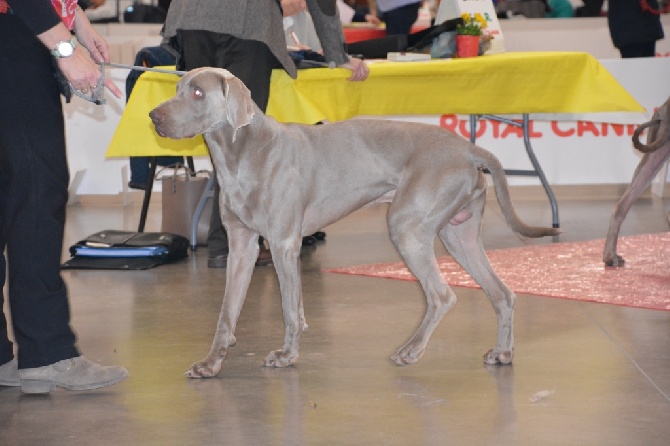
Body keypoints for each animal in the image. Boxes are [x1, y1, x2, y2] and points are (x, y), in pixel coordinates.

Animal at [151, 68, 560, 378]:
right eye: (176, 89)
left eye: (198, 92)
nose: (154, 116)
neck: (241, 153)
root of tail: (467, 148)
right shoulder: (242, 245)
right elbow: (227, 311)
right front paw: (211, 363)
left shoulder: (283, 242)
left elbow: (288, 309)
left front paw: (286, 356)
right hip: (458, 234)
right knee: (502, 293)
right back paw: (502, 353)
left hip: (407, 224)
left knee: (441, 295)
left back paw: (410, 351)